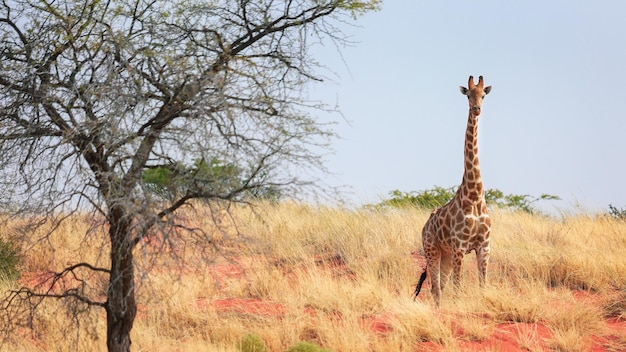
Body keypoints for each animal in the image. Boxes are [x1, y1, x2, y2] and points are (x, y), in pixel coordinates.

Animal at [412, 75, 490, 306]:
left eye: (483, 95)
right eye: (468, 95)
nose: (477, 109)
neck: (474, 196)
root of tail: (425, 225)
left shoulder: (484, 246)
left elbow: (483, 286)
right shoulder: (460, 247)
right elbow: (457, 288)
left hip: (445, 254)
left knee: (440, 287)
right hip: (432, 250)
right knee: (436, 288)